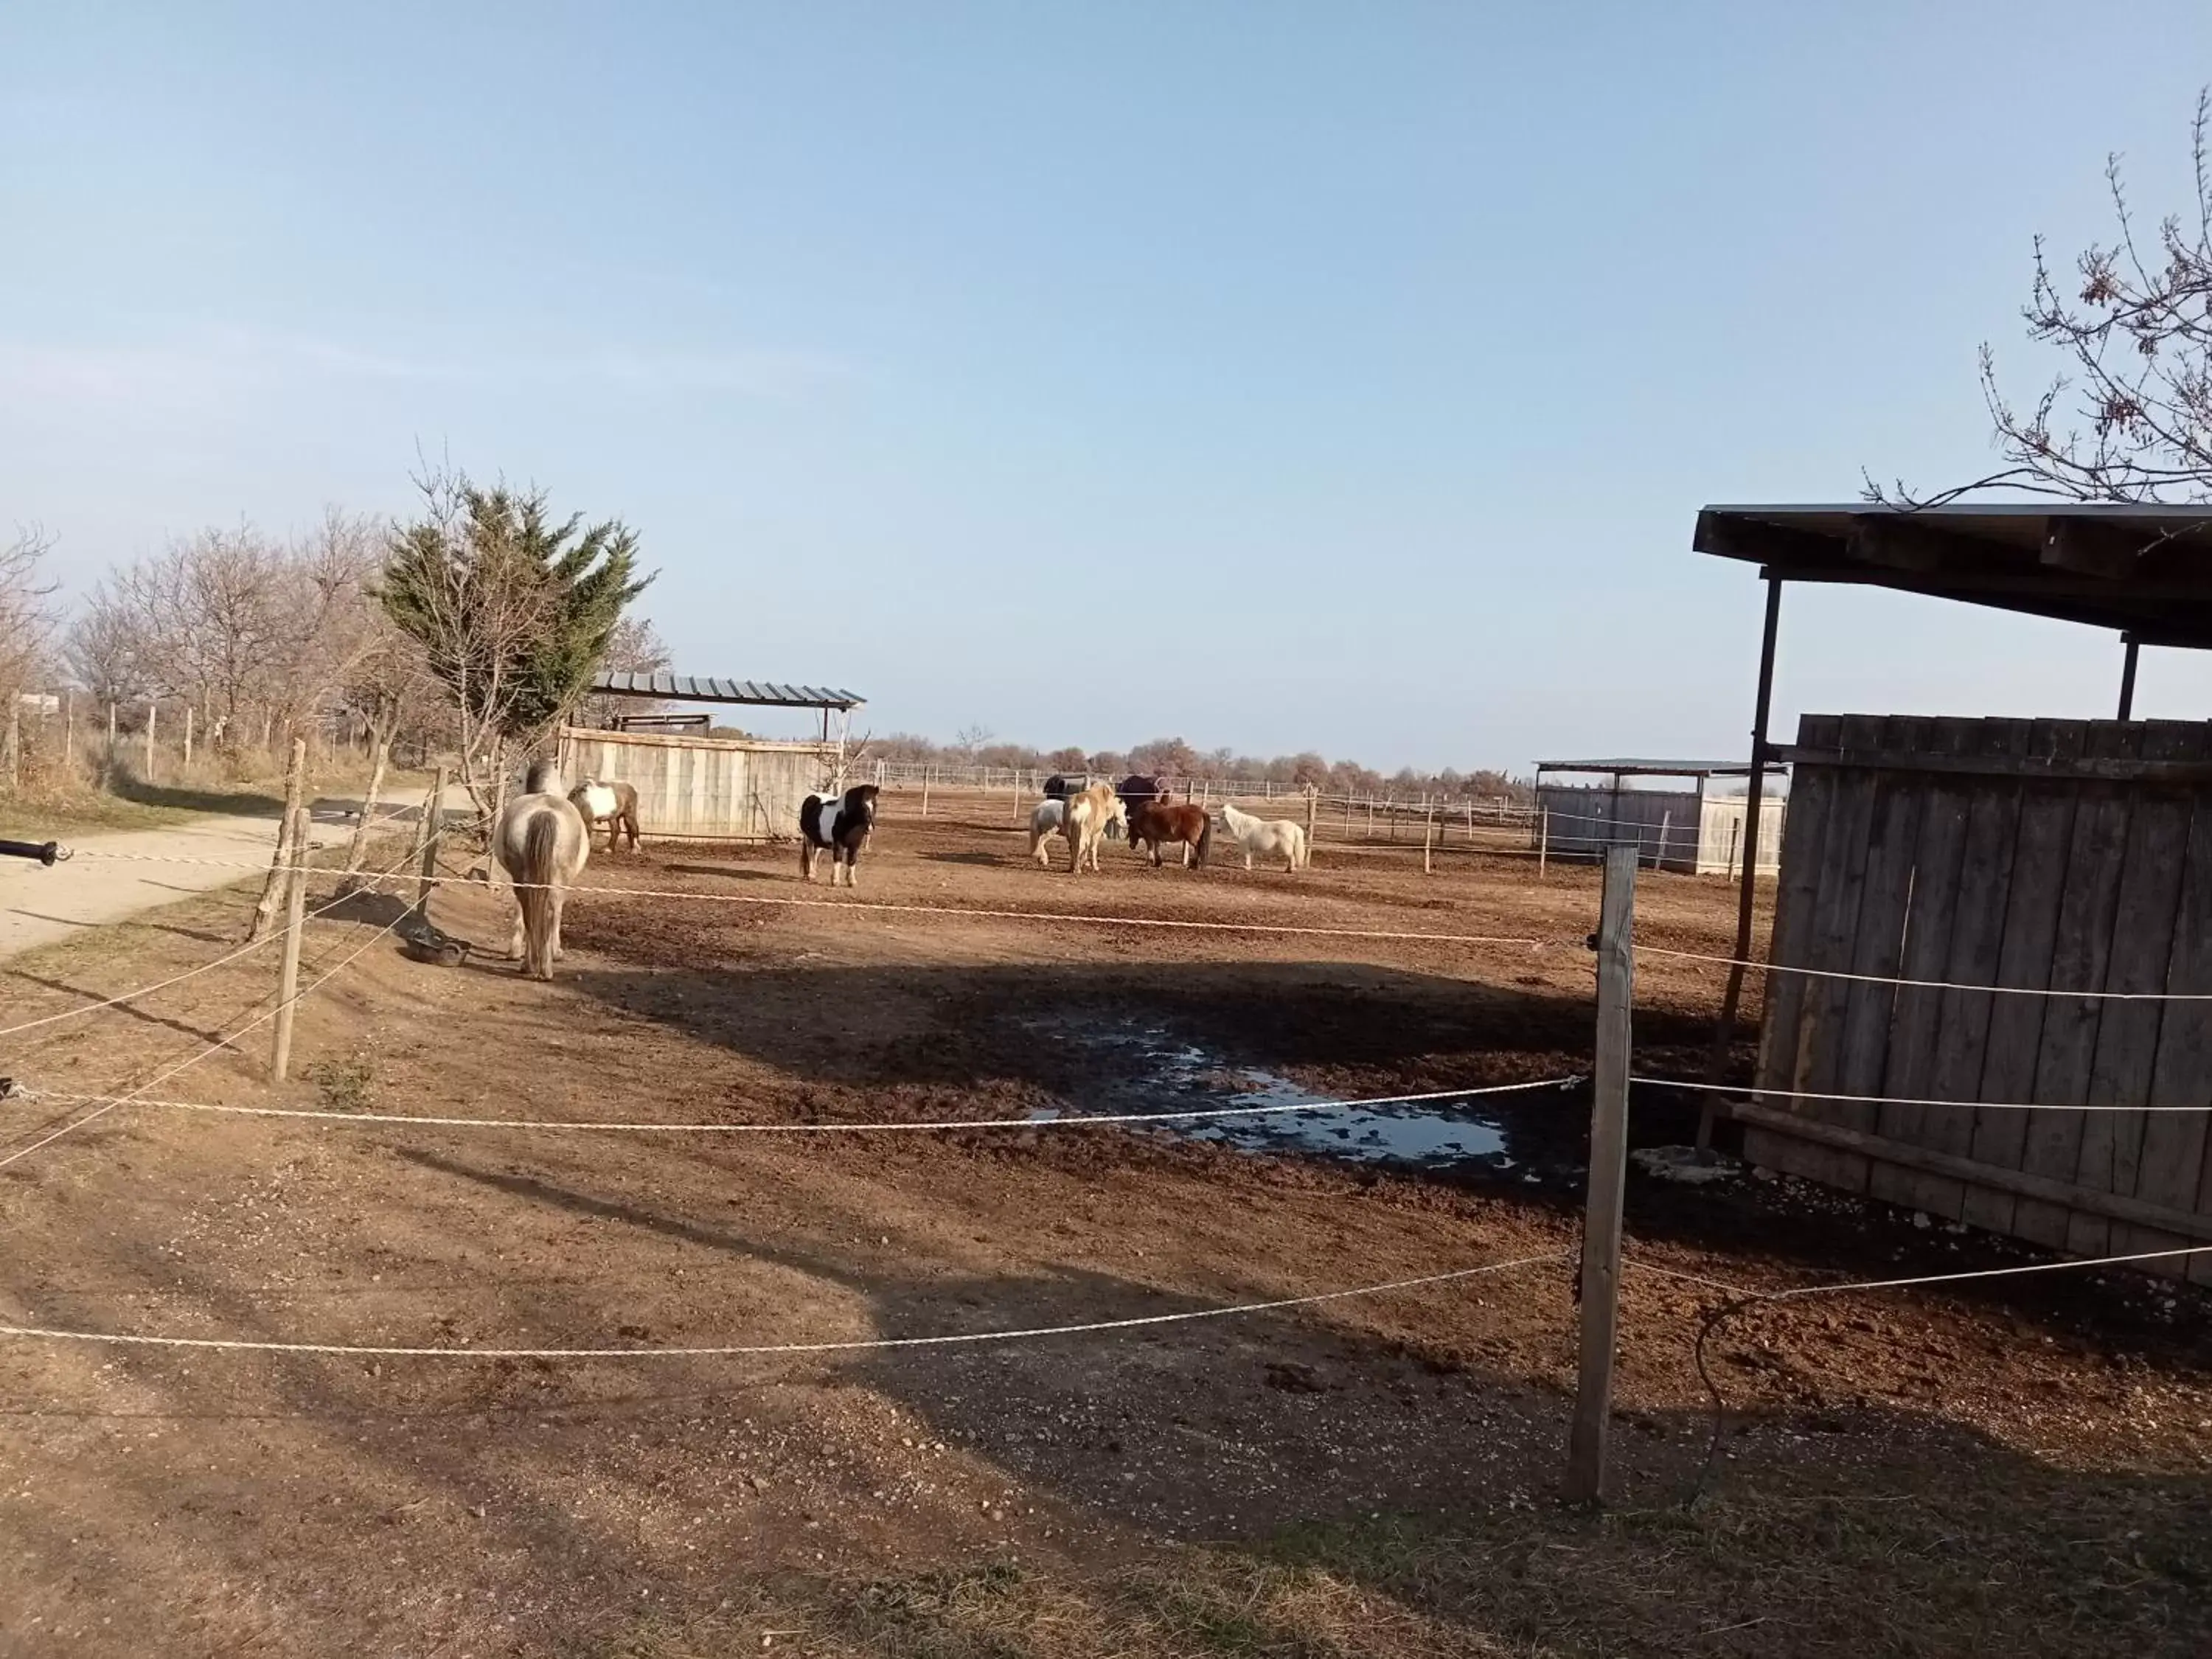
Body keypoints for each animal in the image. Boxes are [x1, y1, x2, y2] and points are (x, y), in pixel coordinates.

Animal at [493, 761, 593, 982]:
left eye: (519, 780)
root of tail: (545, 812)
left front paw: (514, 952)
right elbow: (557, 914)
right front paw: (557, 952)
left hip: (525, 879)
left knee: (531, 911)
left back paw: (531, 965)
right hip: (552, 881)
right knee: (547, 913)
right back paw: (542, 967)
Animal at [801, 787, 876, 889]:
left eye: (875, 805)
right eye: (863, 806)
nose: (870, 828)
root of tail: (811, 797)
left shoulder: (855, 845)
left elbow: (852, 860)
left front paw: (852, 881)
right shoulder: (838, 843)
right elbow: (838, 859)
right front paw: (835, 881)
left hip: (819, 839)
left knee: (815, 853)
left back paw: (814, 874)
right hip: (809, 838)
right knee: (810, 853)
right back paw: (810, 875)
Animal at [1212, 801, 1310, 872]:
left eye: (1222, 818)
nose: (1218, 830)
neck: (1243, 826)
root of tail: (1295, 827)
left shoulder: (1246, 846)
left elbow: (1247, 856)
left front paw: (1246, 868)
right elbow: (1250, 856)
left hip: (1286, 847)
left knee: (1292, 857)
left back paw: (1290, 870)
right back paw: (1287, 869)